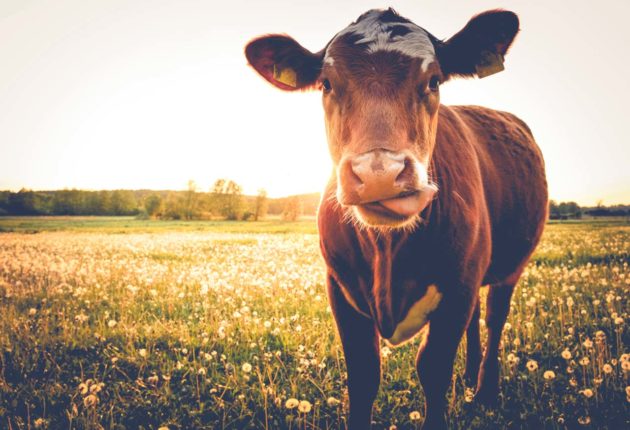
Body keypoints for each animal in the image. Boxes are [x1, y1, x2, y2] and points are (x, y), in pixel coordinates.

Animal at [246, 7, 548, 430]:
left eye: (434, 80)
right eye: (326, 84)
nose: (379, 173)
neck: (388, 251)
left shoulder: (458, 287)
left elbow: (433, 369)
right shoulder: (340, 288)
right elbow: (363, 374)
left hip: (509, 266)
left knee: (494, 317)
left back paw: (485, 390)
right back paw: (469, 376)